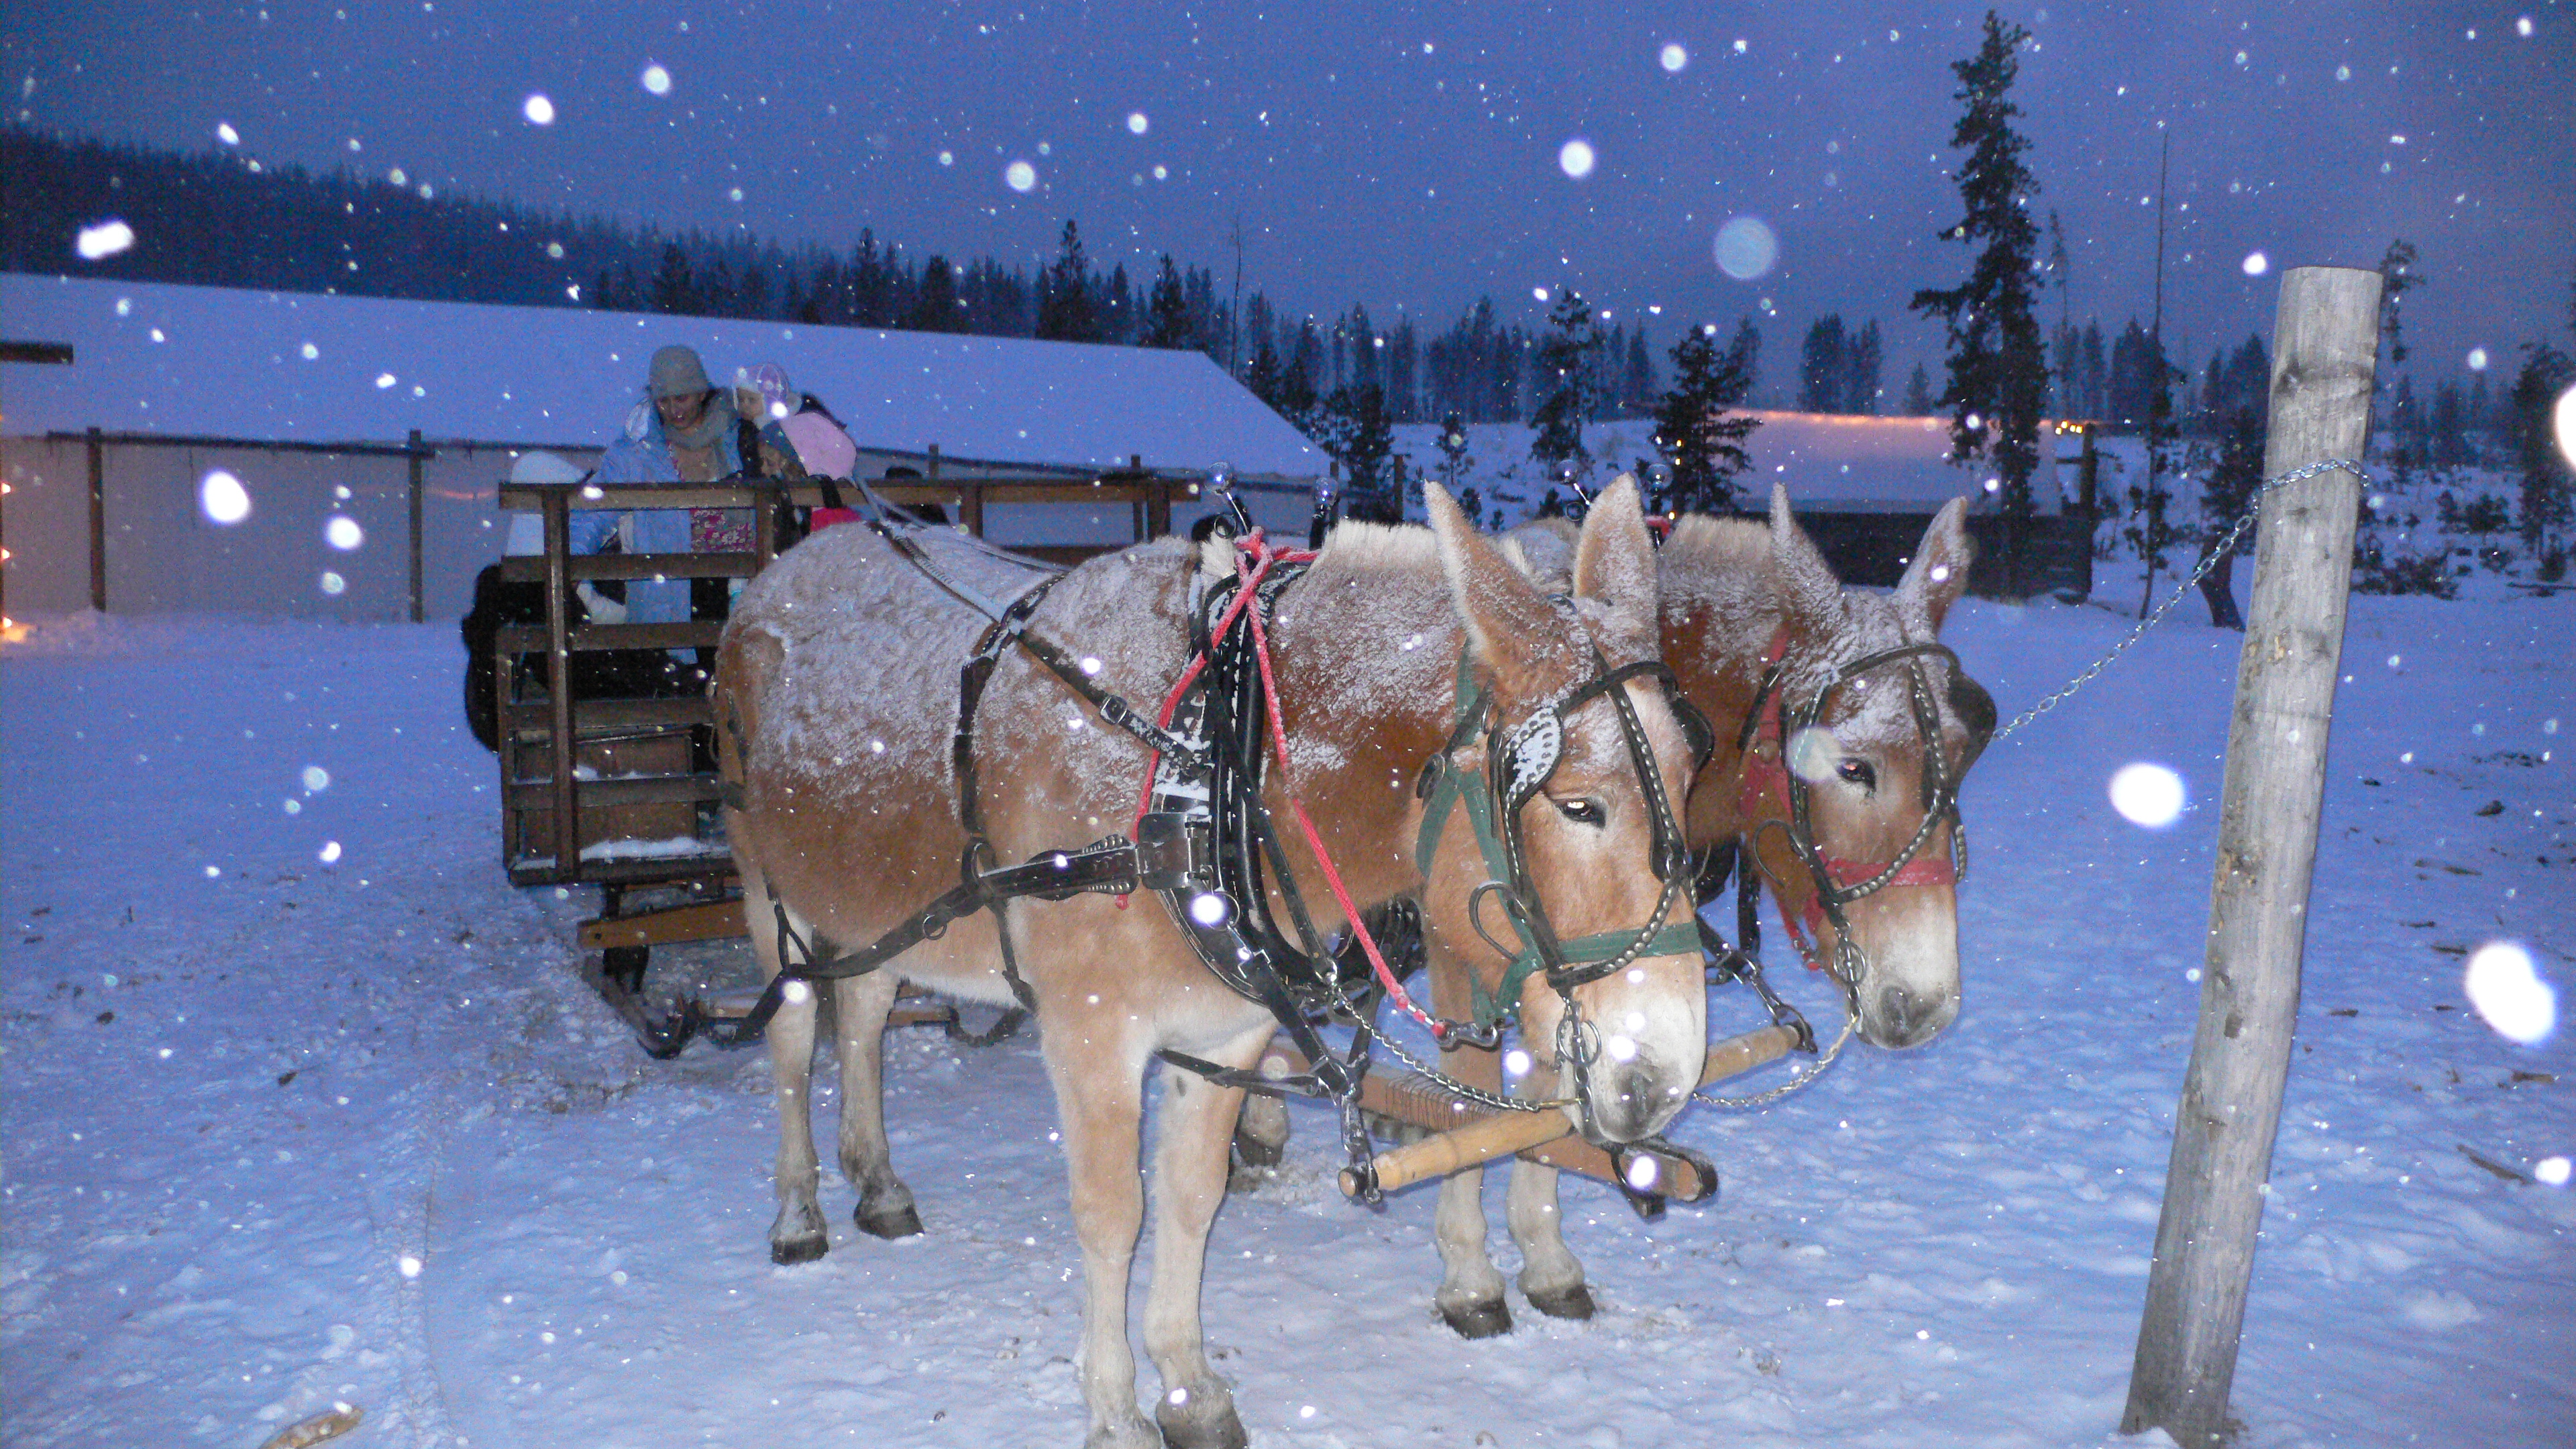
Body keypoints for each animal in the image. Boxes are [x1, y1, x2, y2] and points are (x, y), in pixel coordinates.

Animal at [711, 477, 1707, 1448]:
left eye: (1691, 775)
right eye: (1579, 806)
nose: (1665, 1073)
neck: (1210, 765)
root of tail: (788, 565)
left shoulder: (1228, 1030)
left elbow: (1192, 1198)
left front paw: (1188, 1386)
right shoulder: (1092, 1033)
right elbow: (1114, 1213)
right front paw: (1115, 1410)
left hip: (876, 906)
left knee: (865, 1015)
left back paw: (878, 1182)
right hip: (768, 886)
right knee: (796, 1039)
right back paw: (798, 1211)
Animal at [1235, 484, 1994, 1337]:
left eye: (1966, 751)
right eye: (1855, 767)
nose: (1927, 1005)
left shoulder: (1551, 964)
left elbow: (1548, 1094)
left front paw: (1544, 1251)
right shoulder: (1473, 936)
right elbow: (1479, 1096)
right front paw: (1471, 1271)